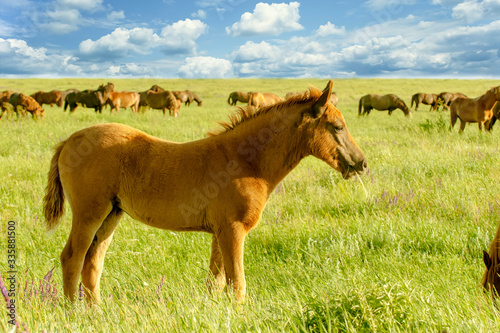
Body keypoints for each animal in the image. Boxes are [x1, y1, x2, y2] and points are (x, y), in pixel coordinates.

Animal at [43, 80, 368, 304]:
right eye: (337, 126)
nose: (362, 163)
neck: (246, 161)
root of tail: (69, 140)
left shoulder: (219, 231)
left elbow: (217, 281)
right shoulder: (233, 229)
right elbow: (237, 282)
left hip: (112, 214)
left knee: (92, 263)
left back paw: (96, 312)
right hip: (90, 213)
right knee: (72, 258)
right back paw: (74, 312)